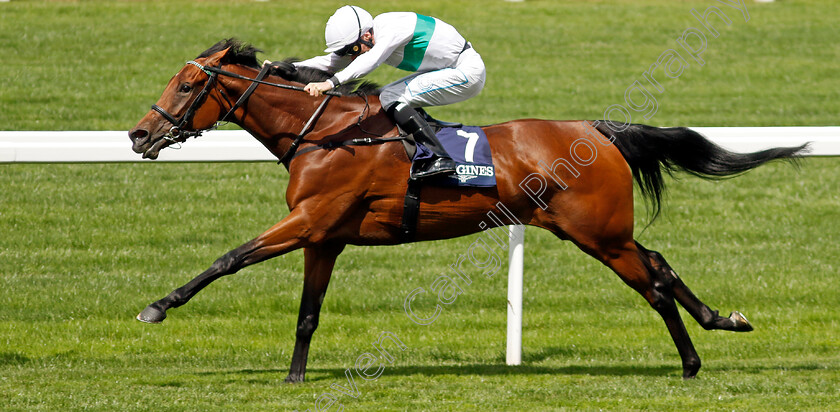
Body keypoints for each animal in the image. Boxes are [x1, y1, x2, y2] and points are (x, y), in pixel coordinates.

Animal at [130, 40, 808, 382]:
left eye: (186, 86)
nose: (140, 135)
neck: (326, 133)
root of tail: (598, 130)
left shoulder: (309, 221)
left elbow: (229, 258)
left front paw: (158, 305)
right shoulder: (325, 236)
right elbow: (307, 314)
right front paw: (295, 378)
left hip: (599, 234)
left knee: (653, 286)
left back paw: (691, 362)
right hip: (604, 230)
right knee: (661, 263)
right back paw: (722, 320)